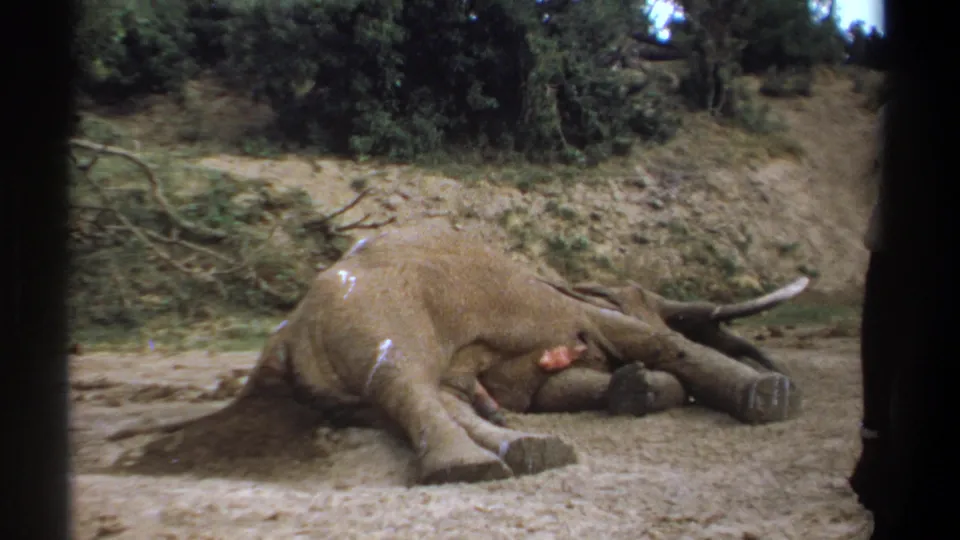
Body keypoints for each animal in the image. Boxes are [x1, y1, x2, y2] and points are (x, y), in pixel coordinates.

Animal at [109, 224, 808, 486]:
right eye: (638, 295)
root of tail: (279, 343)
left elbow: (561, 388)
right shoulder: (565, 309)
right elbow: (651, 340)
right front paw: (771, 398)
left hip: (336, 382)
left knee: (412, 400)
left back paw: (527, 451)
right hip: (377, 315)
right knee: (405, 383)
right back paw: (470, 468)